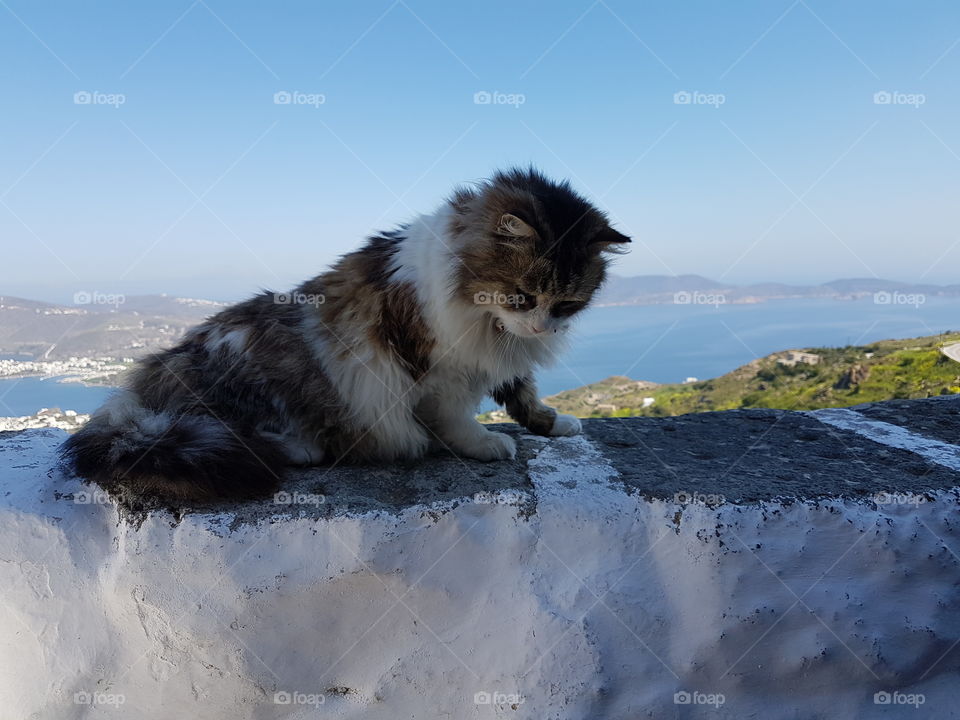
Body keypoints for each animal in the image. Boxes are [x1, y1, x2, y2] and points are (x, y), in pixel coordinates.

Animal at [62, 167, 632, 500]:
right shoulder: (438, 366)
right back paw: (299, 449)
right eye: (521, 296)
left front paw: (551, 424)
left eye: (567, 304)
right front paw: (485, 443)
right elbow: (455, 418)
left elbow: (522, 392)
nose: (540, 325)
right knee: (235, 430)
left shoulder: (499, 353)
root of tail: (140, 391)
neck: (483, 316)